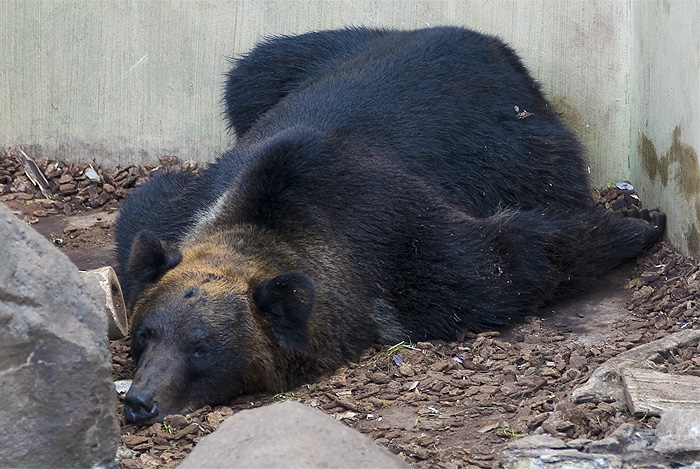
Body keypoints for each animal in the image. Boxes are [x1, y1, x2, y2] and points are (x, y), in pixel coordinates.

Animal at [113, 25, 660, 424]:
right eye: (146, 332)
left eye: (201, 348)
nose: (140, 401)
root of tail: (484, 39)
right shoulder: (187, 205)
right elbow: (140, 219)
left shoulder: (401, 244)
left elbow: (503, 265)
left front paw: (638, 221)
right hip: (304, 57)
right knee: (253, 68)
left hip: (524, 147)